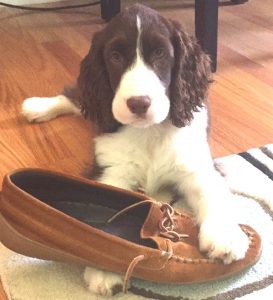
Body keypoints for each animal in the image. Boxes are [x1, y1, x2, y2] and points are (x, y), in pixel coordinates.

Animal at [21, 3, 249, 296]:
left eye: (161, 53)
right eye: (116, 56)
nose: (139, 103)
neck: (149, 132)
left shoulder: (195, 164)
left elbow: (213, 193)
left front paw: (225, 236)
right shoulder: (111, 171)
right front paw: (105, 267)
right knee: (75, 97)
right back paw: (37, 107)